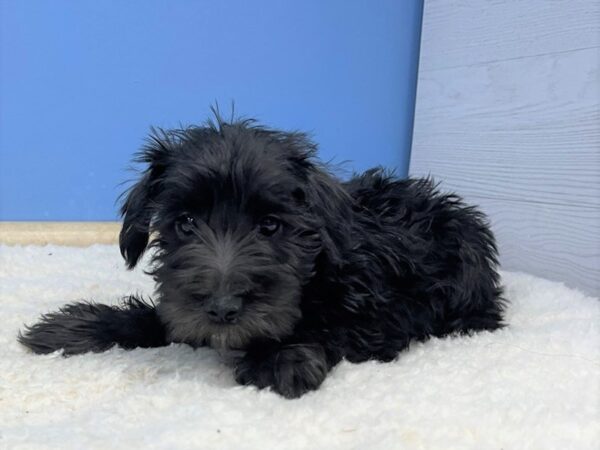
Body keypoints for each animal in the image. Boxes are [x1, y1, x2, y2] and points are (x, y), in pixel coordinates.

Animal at [18, 116, 504, 398]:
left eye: (270, 225)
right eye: (185, 223)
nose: (221, 309)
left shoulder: (381, 312)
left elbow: (332, 326)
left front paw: (279, 359)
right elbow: (160, 318)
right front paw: (75, 326)